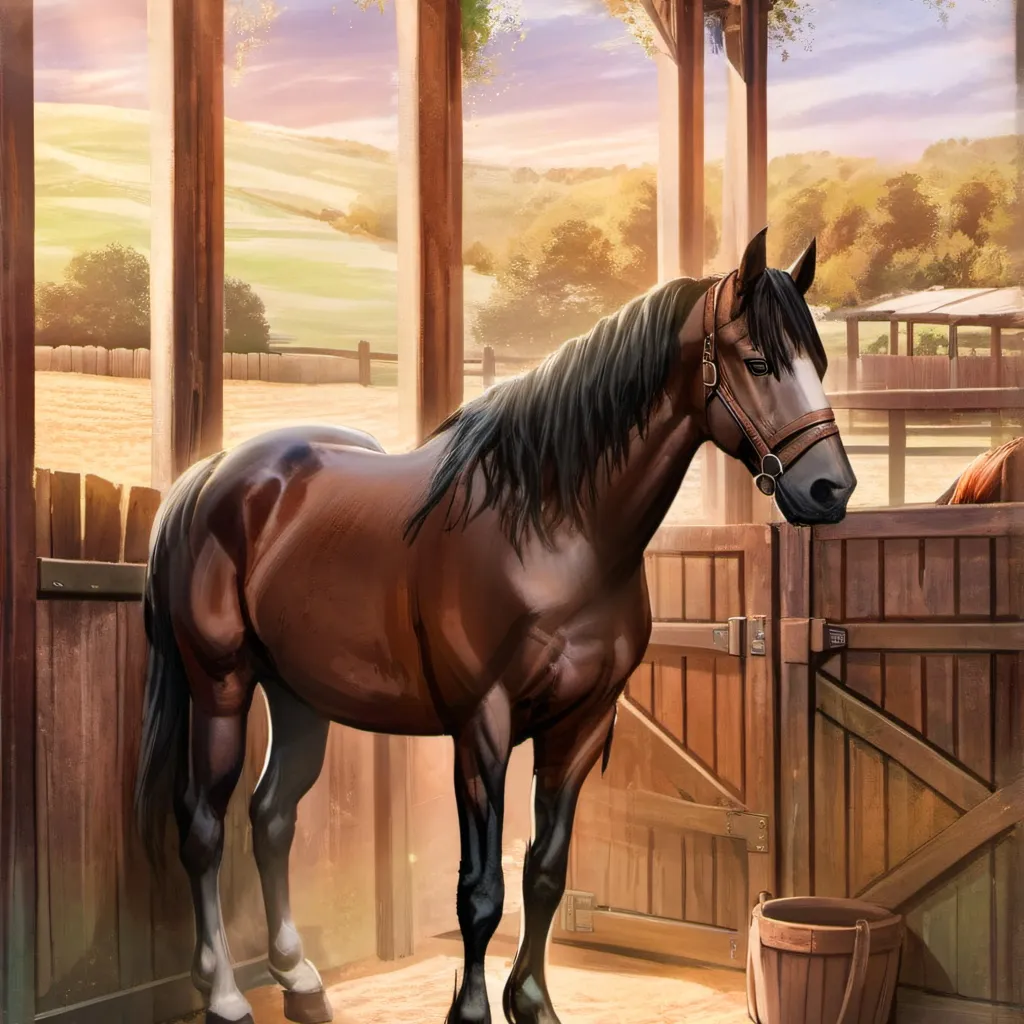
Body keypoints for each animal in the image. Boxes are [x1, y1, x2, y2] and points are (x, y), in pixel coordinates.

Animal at [133, 227, 856, 1024]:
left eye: (819, 363)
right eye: (758, 362)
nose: (832, 489)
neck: (550, 531)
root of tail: (211, 475)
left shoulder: (583, 725)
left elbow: (545, 870)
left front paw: (533, 1003)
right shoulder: (483, 725)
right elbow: (480, 891)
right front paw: (473, 1010)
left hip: (298, 698)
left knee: (271, 818)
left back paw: (300, 981)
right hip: (221, 687)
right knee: (203, 826)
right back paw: (227, 995)